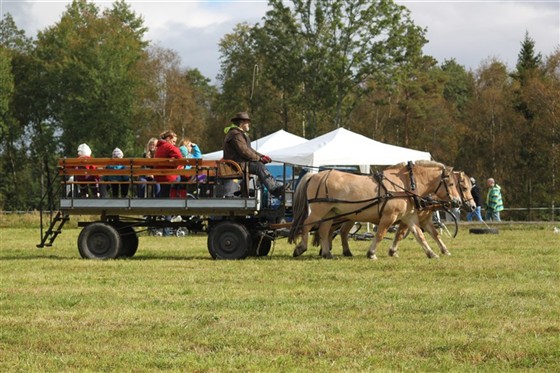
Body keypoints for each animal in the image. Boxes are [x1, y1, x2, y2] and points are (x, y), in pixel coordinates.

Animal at [286, 160, 466, 258]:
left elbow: (420, 235)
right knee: (307, 225)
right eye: (451, 184)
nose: (457, 202)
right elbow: (380, 234)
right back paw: (301, 248)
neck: (405, 184)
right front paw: (371, 253)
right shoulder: (389, 216)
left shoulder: (409, 217)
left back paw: (327, 253)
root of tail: (315, 175)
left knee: (324, 230)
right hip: (318, 210)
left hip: (331, 212)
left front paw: (432, 253)